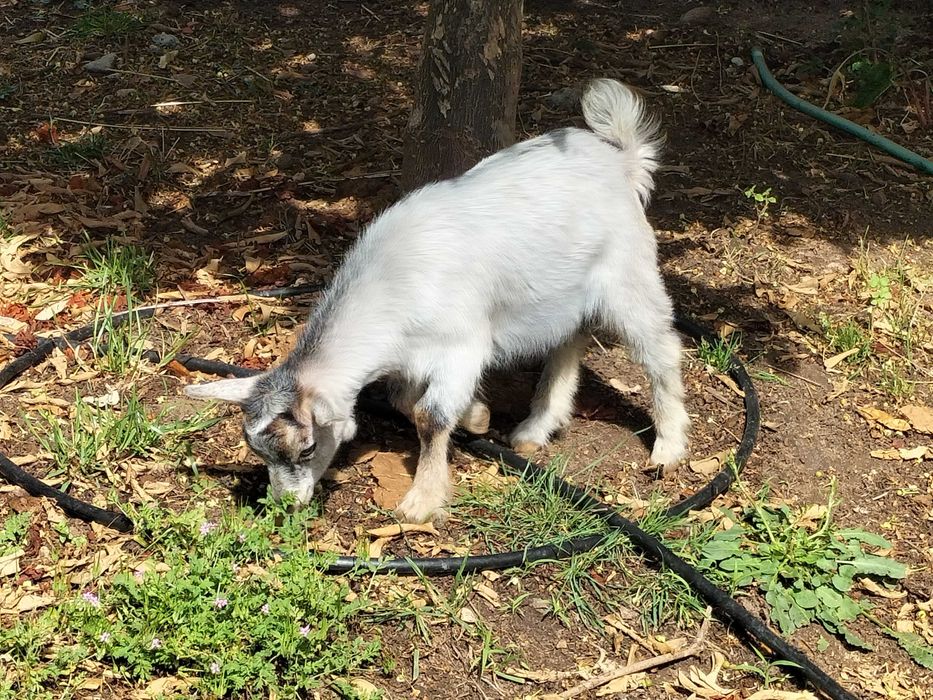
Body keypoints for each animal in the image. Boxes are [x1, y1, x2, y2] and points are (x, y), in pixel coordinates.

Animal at [185, 78, 690, 523]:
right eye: (257, 450)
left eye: (307, 447)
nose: (286, 504)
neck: (391, 285)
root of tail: (621, 161)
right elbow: (403, 399)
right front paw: (479, 417)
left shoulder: (463, 346)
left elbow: (429, 416)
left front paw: (422, 501)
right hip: (561, 296)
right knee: (568, 344)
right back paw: (533, 430)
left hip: (628, 276)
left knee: (660, 350)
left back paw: (667, 448)